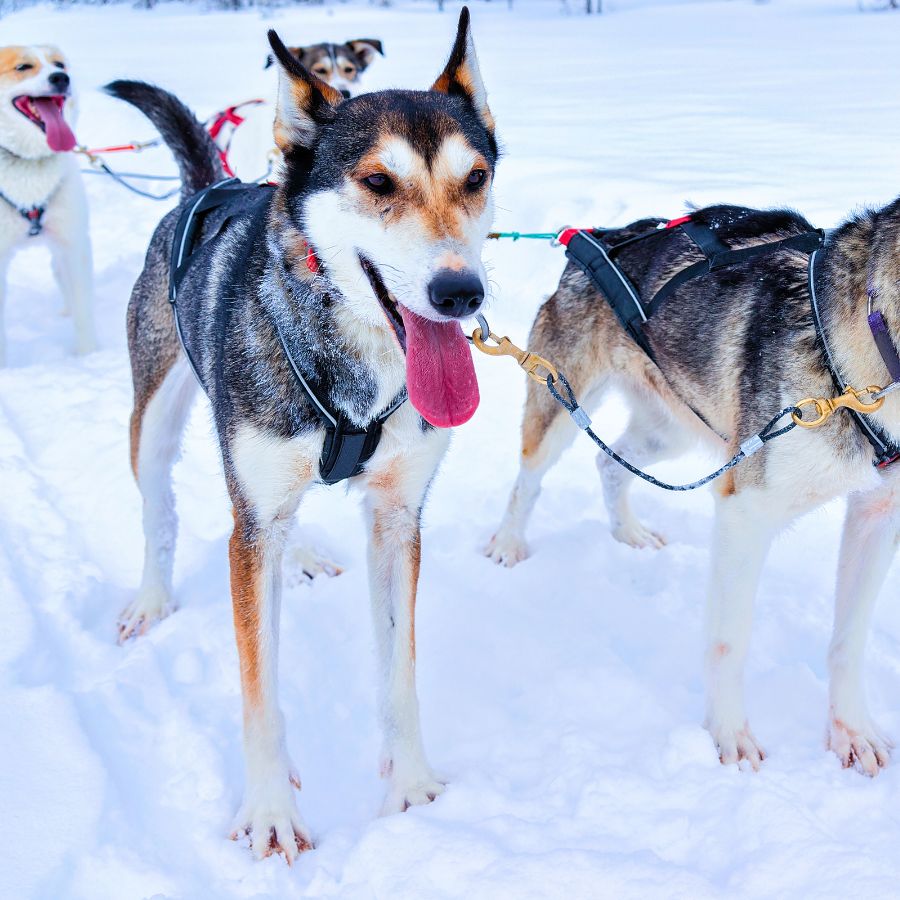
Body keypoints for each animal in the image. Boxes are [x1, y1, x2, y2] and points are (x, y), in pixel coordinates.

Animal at [0, 45, 96, 366]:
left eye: (59, 64)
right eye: (23, 67)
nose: (61, 78)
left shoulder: (72, 243)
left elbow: (82, 305)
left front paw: (88, 356)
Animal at [108, 8, 496, 864]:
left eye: (476, 178)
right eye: (378, 183)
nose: (461, 292)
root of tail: (206, 187)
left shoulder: (397, 517)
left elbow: (400, 672)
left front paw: (411, 789)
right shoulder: (249, 525)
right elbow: (260, 691)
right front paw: (269, 813)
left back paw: (305, 555)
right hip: (154, 427)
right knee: (158, 514)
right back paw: (150, 597)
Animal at [488, 202, 900, 772]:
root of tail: (604, 236)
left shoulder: (877, 513)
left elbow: (849, 640)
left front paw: (851, 731)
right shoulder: (746, 512)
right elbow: (729, 641)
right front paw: (727, 734)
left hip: (672, 431)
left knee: (610, 463)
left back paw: (630, 534)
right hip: (561, 403)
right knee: (528, 480)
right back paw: (508, 542)